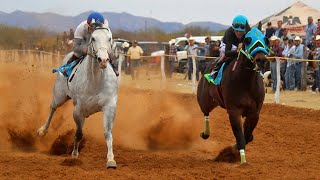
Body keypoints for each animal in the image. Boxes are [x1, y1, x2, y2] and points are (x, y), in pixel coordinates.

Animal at [37, 27, 118, 168]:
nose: (103, 60)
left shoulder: (109, 107)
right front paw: (74, 155)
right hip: (59, 95)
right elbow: (79, 133)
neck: (95, 80)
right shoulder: (78, 109)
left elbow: (107, 133)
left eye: (109, 38)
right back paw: (42, 130)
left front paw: (110, 159)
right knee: (52, 108)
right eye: (93, 38)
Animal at [198, 22, 268, 165]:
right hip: (204, 99)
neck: (245, 81)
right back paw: (205, 133)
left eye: (265, 39)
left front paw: (233, 151)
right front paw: (241, 159)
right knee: (206, 113)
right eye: (248, 39)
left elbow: (247, 136)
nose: (261, 60)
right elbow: (240, 138)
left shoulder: (254, 113)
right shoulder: (234, 111)